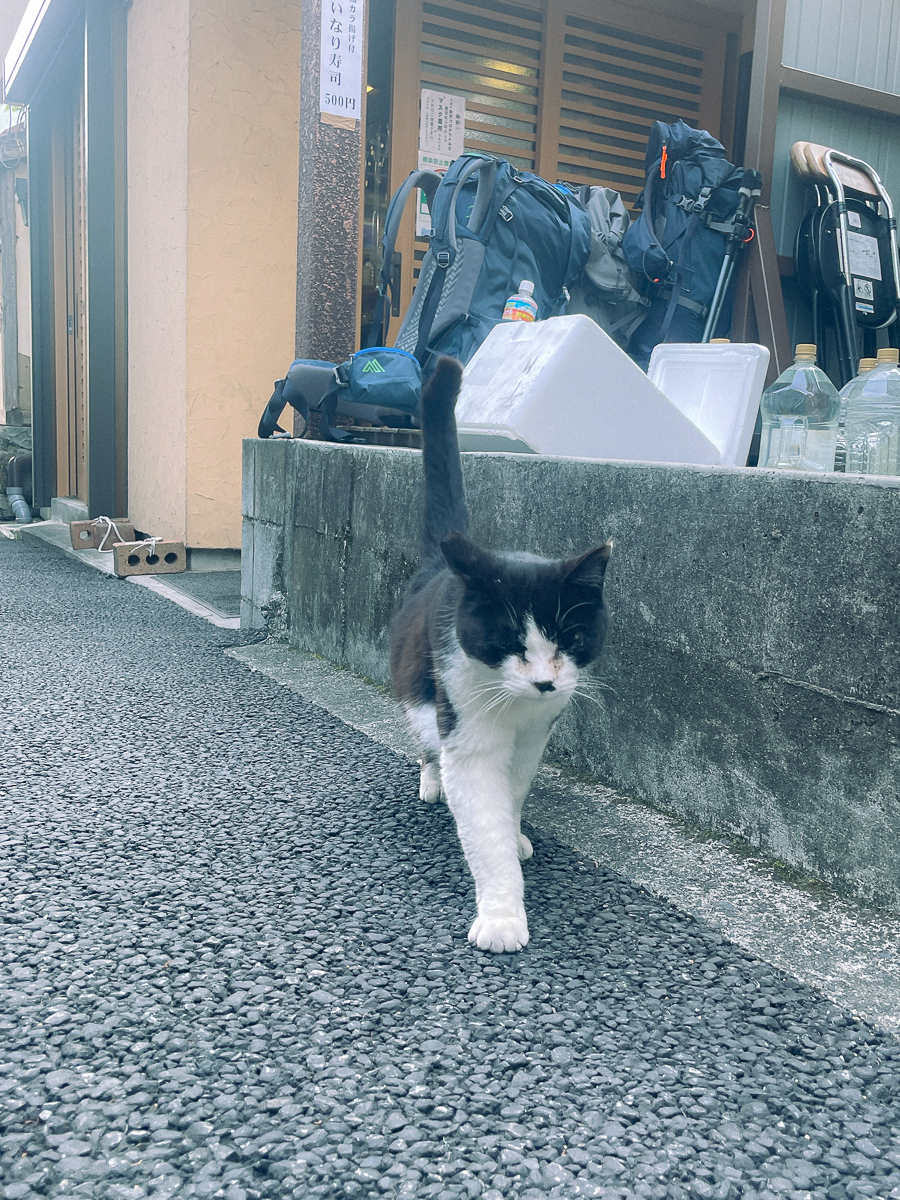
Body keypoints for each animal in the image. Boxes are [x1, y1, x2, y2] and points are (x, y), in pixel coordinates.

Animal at [391, 350, 619, 950]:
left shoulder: (539, 729)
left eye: (569, 640)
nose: (544, 680)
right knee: (428, 739)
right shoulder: (467, 716)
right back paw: (432, 780)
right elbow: (481, 811)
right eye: (508, 642)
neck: (515, 706)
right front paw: (501, 917)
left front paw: (514, 834)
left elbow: (513, 791)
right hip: (421, 686)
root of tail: (442, 561)